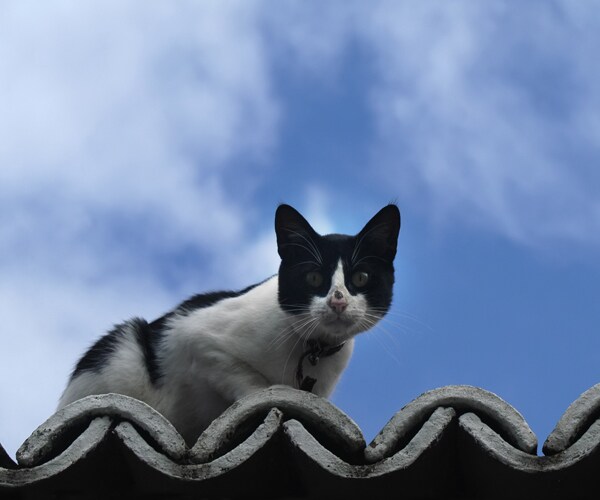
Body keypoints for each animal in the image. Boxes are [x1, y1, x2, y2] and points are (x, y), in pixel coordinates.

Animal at [58, 203, 400, 446]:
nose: (338, 301)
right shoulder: (196, 337)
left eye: (361, 278)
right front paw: (270, 390)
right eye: (314, 278)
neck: (311, 348)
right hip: (123, 353)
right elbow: (248, 381)